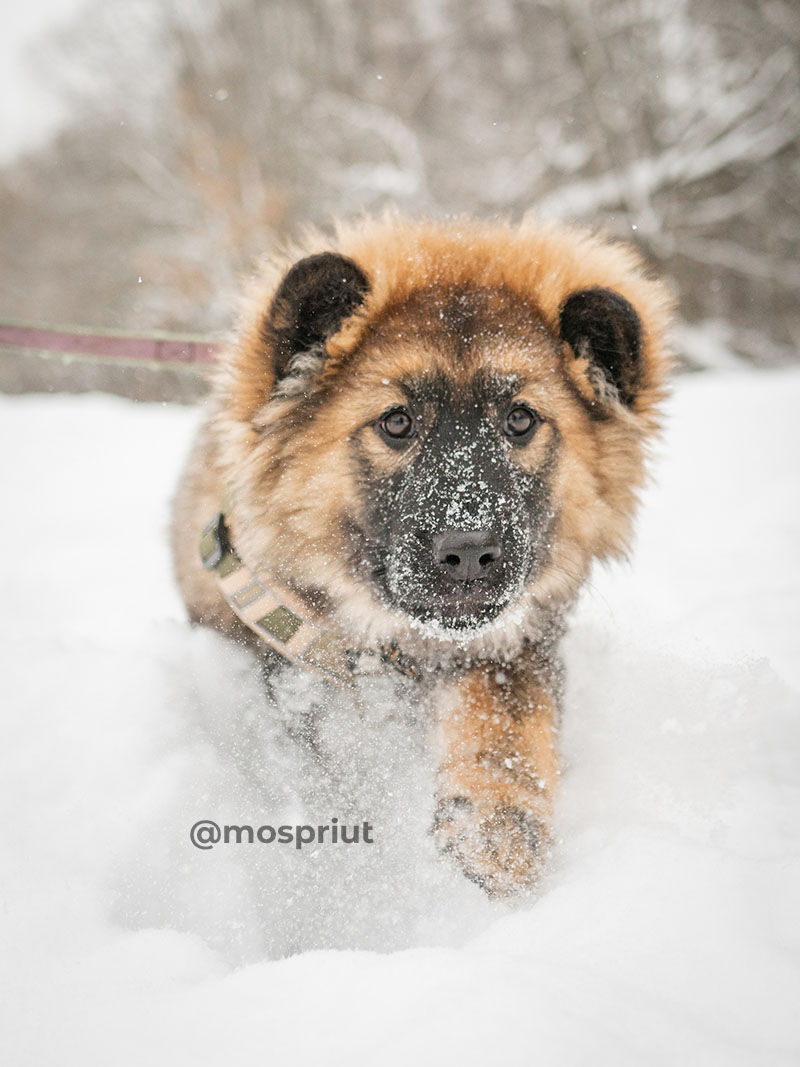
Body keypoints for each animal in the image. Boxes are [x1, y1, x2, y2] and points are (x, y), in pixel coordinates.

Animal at [172, 212, 674, 896]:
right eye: (397, 422)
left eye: (520, 420)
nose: (469, 553)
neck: (394, 649)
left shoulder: (512, 641)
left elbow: (507, 718)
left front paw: (495, 823)